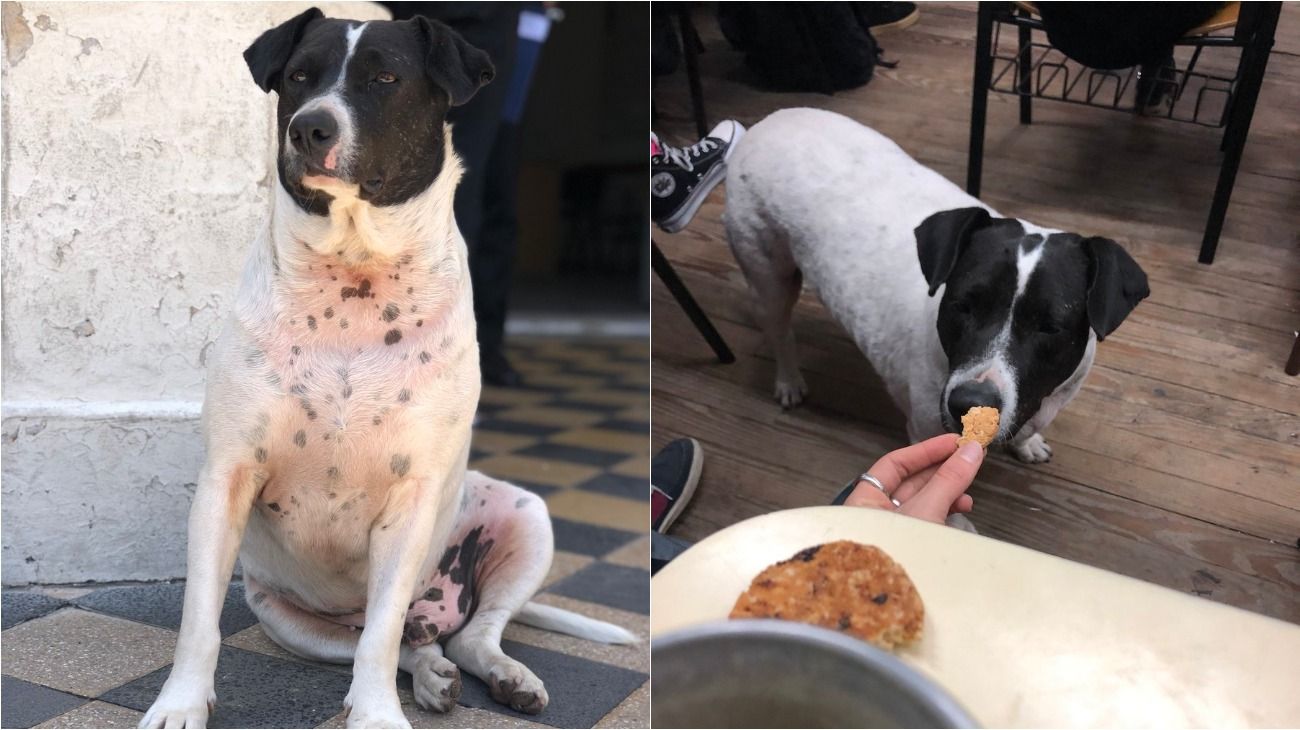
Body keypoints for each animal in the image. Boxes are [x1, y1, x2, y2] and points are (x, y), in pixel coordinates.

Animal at [141, 11, 629, 727]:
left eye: (385, 80)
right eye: (299, 77)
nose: (309, 127)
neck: (354, 278)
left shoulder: (412, 498)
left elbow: (380, 637)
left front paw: (375, 714)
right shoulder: (225, 480)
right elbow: (198, 621)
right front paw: (179, 705)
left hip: (526, 515)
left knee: (459, 632)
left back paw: (504, 674)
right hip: (294, 624)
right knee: (415, 644)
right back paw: (432, 674)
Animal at [722, 107, 1149, 459]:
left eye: (1050, 326)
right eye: (962, 306)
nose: (969, 402)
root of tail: (762, 125)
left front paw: (1028, 444)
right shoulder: (927, 431)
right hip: (769, 276)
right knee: (779, 331)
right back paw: (789, 380)